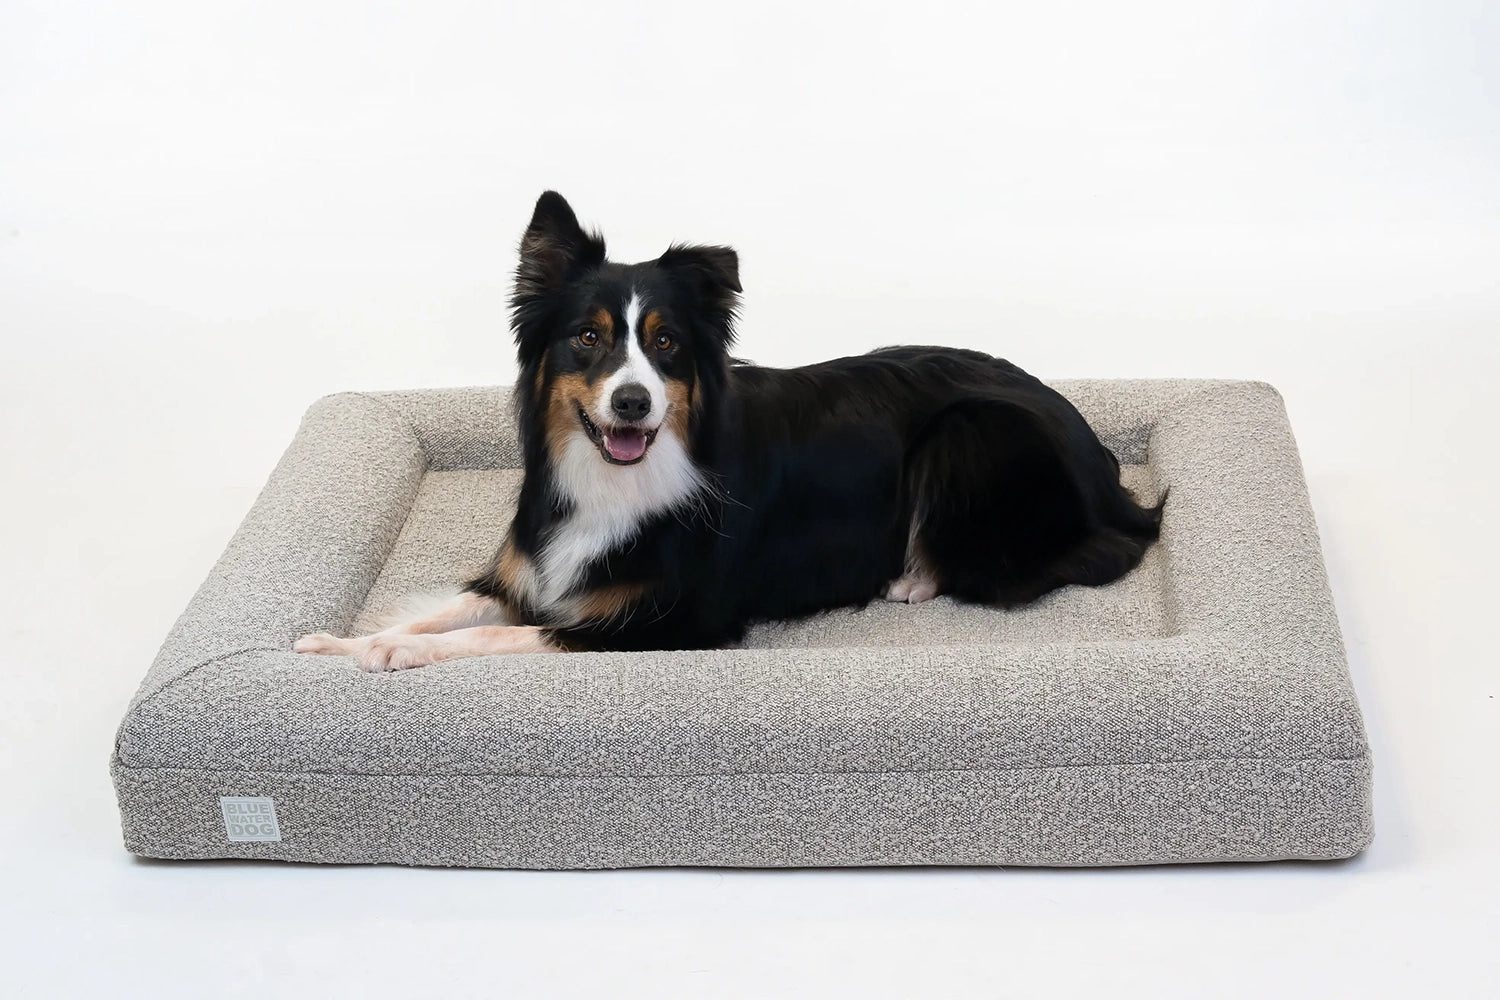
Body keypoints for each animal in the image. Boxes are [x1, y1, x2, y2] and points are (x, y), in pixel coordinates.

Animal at [292, 190, 1158, 668]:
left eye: (667, 343)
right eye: (588, 337)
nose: (633, 404)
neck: (617, 476)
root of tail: (1105, 468)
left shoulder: (672, 620)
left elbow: (493, 639)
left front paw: (396, 651)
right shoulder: (531, 573)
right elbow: (446, 612)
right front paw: (339, 644)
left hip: (971, 431)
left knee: (1056, 561)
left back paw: (913, 574)